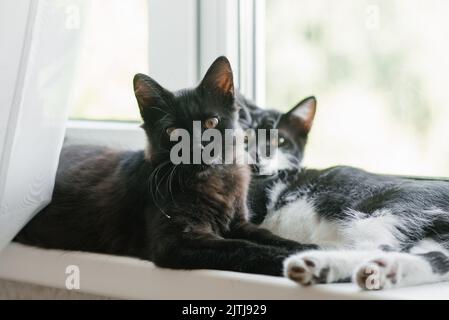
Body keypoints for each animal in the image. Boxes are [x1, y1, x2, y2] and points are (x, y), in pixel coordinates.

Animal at [243, 96, 448, 288]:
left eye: (278, 140)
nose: (257, 157)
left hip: (384, 210)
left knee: (379, 248)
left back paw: (318, 263)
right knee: (437, 257)